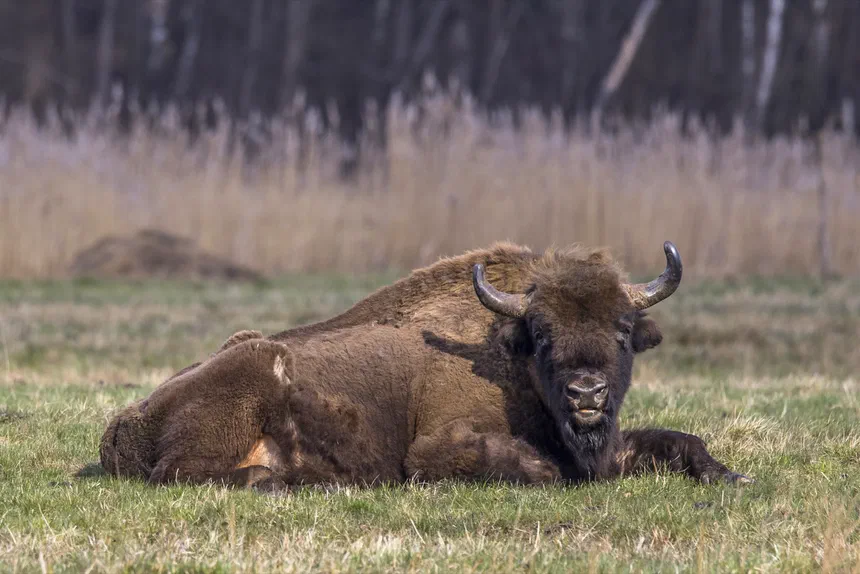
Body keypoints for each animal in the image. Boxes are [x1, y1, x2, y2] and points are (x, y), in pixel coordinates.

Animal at [100, 241, 751, 489]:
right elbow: (533, 466)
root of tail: (123, 423)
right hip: (246, 386)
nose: (587, 394)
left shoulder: (613, 444)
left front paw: (730, 475)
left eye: (622, 330)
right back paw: (284, 481)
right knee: (182, 472)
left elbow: (680, 440)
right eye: (541, 334)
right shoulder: (433, 447)